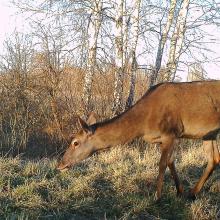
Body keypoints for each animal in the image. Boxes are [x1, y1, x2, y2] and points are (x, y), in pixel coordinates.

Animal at [57, 81, 220, 201]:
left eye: (75, 142)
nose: (60, 165)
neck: (143, 126)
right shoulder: (167, 138)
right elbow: (170, 161)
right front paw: (179, 192)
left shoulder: (171, 133)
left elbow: (162, 164)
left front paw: (157, 197)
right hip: (209, 133)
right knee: (214, 159)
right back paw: (193, 192)